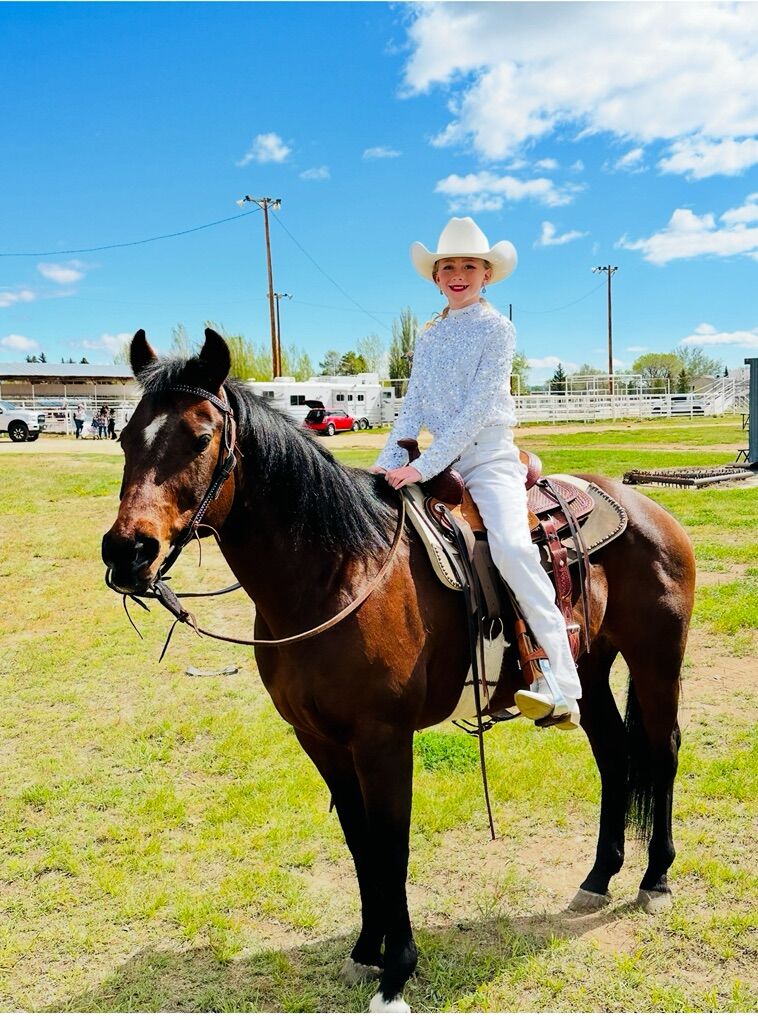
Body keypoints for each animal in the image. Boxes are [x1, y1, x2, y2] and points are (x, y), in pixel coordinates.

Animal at [102, 328, 696, 1012]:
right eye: (125, 435)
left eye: (200, 438)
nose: (127, 551)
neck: (335, 574)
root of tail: (643, 505)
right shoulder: (319, 739)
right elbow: (360, 840)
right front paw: (368, 949)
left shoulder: (382, 740)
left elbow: (391, 842)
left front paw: (397, 971)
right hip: (590, 670)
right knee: (615, 755)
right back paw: (598, 877)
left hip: (657, 662)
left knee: (662, 751)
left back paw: (655, 879)